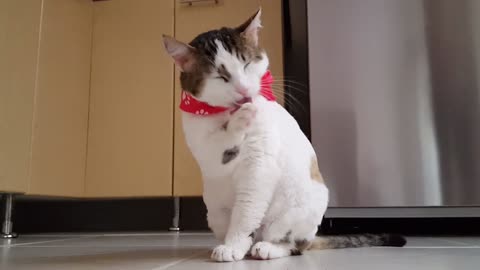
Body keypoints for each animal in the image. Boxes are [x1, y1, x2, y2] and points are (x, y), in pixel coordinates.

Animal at [162, 8, 404, 262]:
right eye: (221, 77)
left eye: (247, 65)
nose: (244, 90)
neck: (226, 113)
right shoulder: (202, 144)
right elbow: (217, 148)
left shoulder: (260, 165)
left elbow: (246, 211)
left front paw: (233, 245)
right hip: (215, 211)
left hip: (298, 211)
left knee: (295, 245)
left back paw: (268, 247)